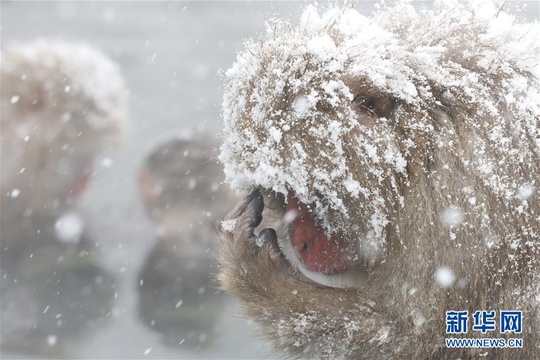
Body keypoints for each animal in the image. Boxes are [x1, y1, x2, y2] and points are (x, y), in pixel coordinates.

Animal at [217, 2, 536, 360]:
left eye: (312, 195)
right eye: (284, 195)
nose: (299, 243)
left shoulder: (465, 219)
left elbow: (419, 341)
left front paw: (256, 275)